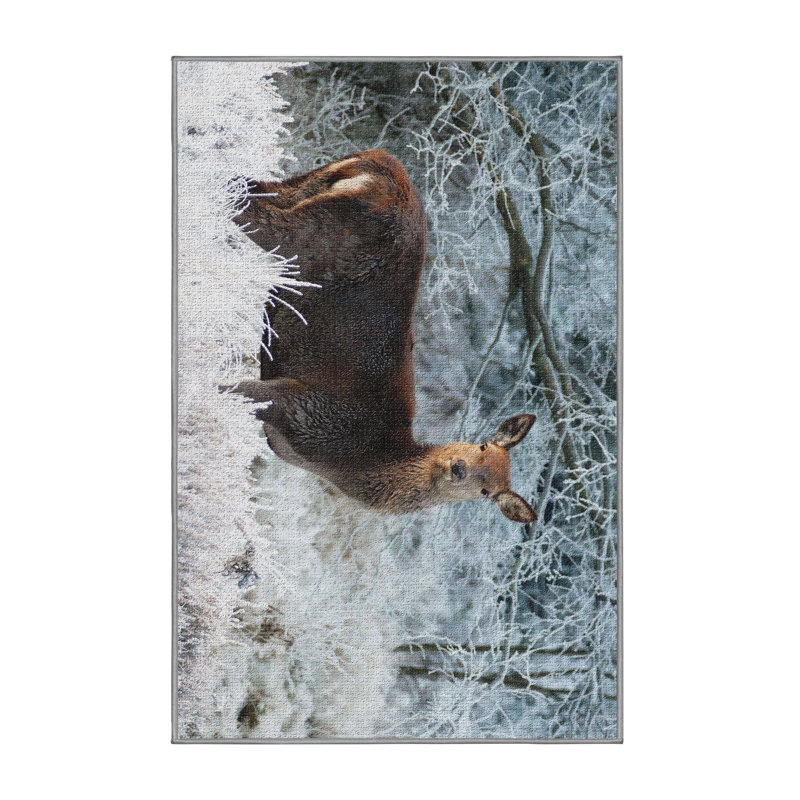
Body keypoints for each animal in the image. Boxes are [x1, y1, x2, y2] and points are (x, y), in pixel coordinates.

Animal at [227, 149, 537, 523]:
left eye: (487, 492)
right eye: (481, 445)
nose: (458, 468)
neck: (353, 465)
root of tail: (381, 163)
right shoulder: (310, 410)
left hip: (304, 189)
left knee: (252, 186)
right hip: (317, 234)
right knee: (249, 204)